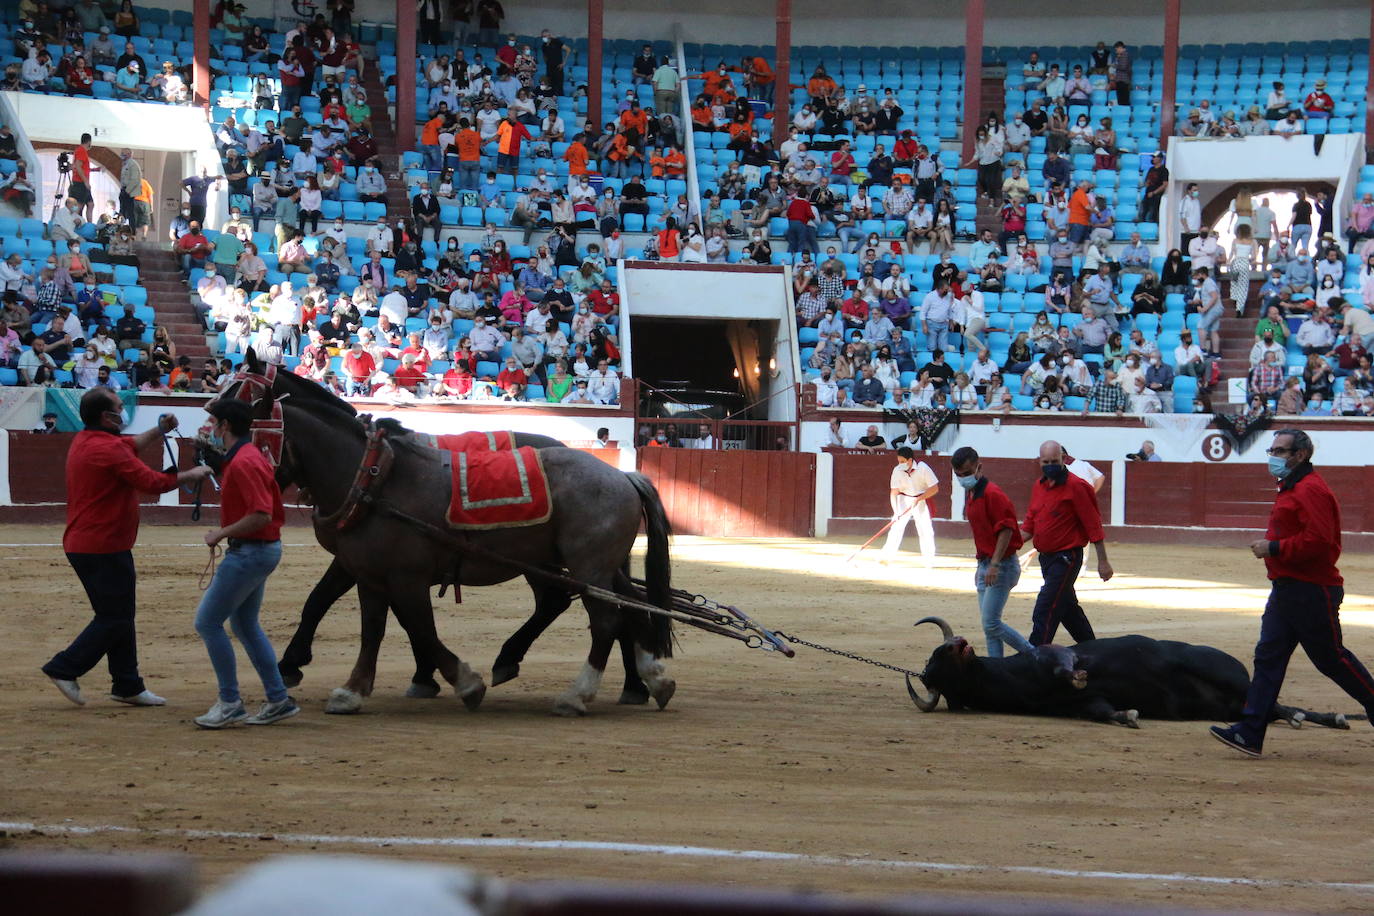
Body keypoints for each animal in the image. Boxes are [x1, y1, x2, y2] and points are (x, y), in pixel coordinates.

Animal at [219, 351, 676, 714]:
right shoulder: (368, 571)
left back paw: (578, 693)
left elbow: (406, 622)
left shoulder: (398, 574)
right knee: (624, 606)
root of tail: (622, 475)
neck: (374, 476)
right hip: (584, 565)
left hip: (584, 566)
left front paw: (456, 680)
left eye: (240, 400)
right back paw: (646, 678)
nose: (217, 458)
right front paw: (358, 689)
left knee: (602, 617)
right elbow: (377, 626)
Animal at [901, 615, 1352, 730]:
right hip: (1227, 705)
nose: (959, 643)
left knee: (1274, 700)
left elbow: (1067, 664)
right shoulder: (1082, 706)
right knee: (1271, 708)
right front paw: (1129, 715)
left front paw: (1078, 673)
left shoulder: (1055, 655)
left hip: (1223, 673)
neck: (1017, 677)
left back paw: (1329, 717)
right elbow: (1104, 711)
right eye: (936, 662)